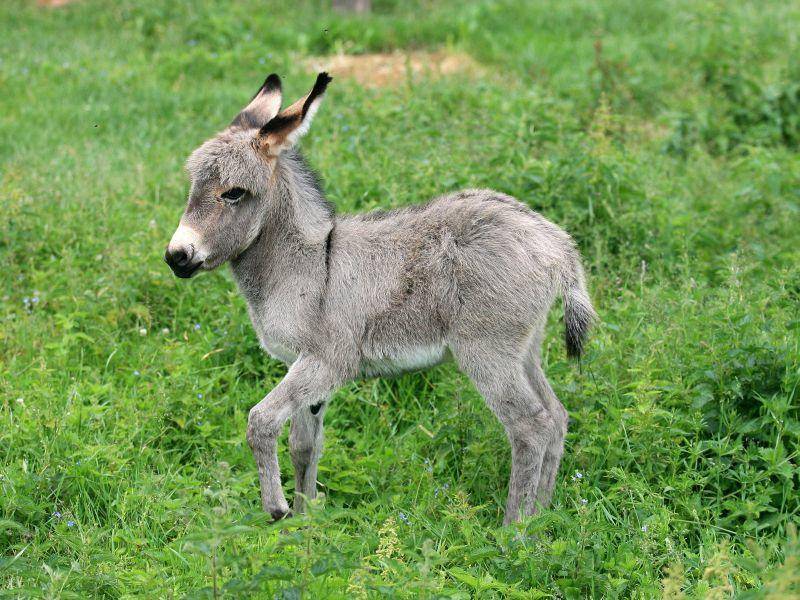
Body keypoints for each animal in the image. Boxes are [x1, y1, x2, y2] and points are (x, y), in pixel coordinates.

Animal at [166, 71, 596, 524]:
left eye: (234, 193)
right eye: (193, 186)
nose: (176, 257)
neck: (309, 263)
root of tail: (556, 242)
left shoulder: (326, 362)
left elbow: (260, 422)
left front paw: (279, 508)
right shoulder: (302, 367)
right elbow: (304, 446)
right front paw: (305, 520)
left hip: (487, 352)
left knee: (530, 426)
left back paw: (514, 529)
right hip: (524, 348)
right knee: (556, 416)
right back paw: (543, 514)